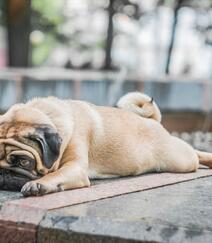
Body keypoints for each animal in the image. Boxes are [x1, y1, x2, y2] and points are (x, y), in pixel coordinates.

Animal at [0, 92, 211, 196]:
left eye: (24, 162)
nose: (3, 174)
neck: (50, 116)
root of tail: (152, 121)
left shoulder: (75, 168)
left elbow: (55, 174)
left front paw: (38, 184)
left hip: (180, 160)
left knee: (194, 153)